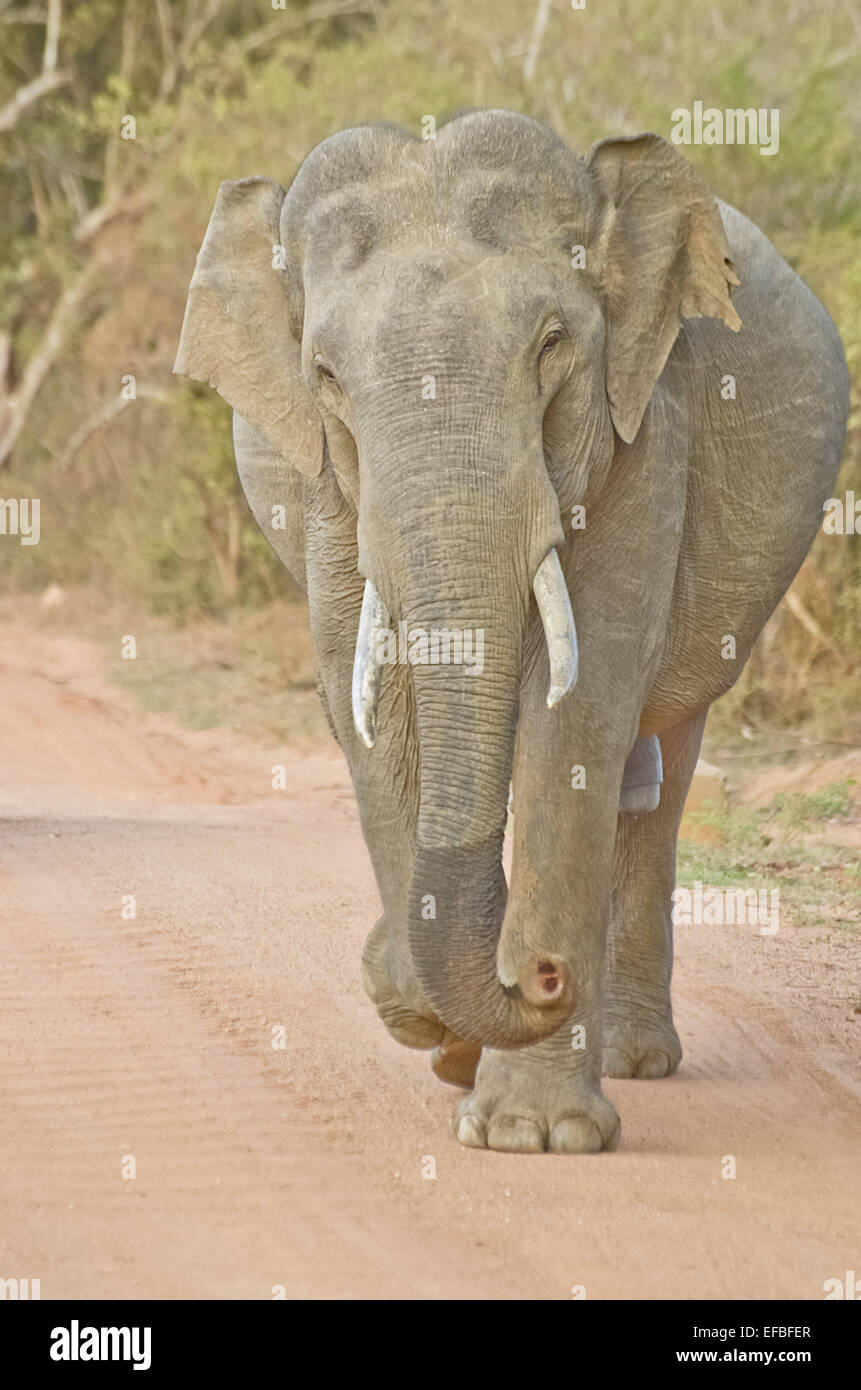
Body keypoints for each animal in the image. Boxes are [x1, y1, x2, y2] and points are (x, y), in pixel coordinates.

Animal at [173, 108, 851, 1156]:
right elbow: (373, 710)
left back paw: (629, 1056)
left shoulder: (642, 429)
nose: (540, 975)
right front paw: (433, 1024)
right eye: (324, 375)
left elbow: (577, 713)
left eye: (551, 344)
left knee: (659, 763)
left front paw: (536, 1134)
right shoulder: (329, 487)